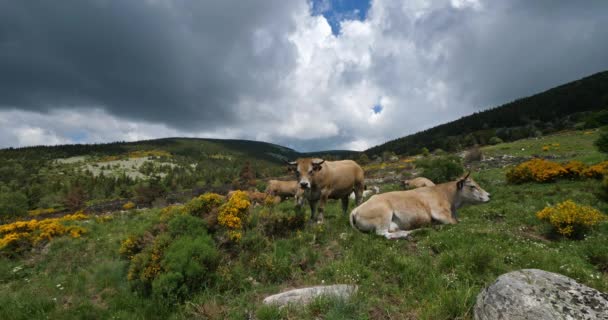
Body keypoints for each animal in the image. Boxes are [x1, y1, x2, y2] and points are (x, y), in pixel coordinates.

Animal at [352, 174, 490, 239]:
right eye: (472, 186)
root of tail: (355, 209)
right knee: (383, 234)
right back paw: (412, 232)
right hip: (384, 213)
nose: (489, 195)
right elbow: (455, 223)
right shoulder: (440, 213)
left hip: (393, 223)